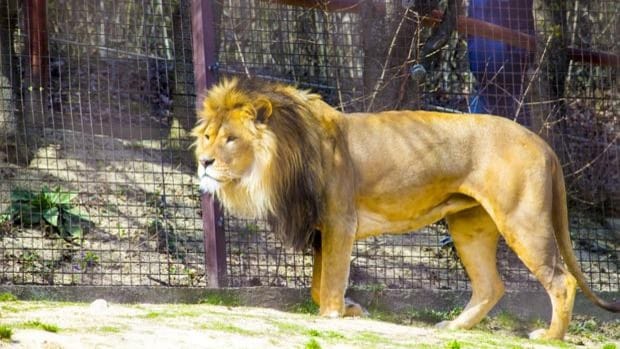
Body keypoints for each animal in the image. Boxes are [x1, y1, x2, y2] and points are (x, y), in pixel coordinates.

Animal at [191, 77, 616, 338]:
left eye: (231, 139)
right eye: (208, 136)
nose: (204, 162)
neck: (284, 155)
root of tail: (543, 143)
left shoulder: (339, 220)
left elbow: (331, 278)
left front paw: (332, 315)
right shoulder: (320, 231)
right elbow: (318, 282)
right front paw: (350, 309)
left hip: (522, 220)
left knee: (562, 280)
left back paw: (549, 336)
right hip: (469, 226)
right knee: (491, 286)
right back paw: (454, 329)